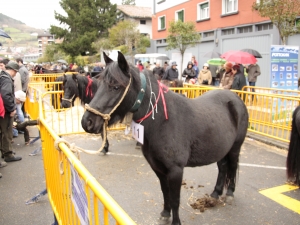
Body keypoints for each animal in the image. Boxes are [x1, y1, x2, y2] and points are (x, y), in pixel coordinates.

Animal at [81, 51, 248, 225]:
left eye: (116, 86)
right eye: (100, 84)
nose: (87, 122)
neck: (162, 122)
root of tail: (235, 99)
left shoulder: (175, 170)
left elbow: (175, 199)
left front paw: (175, 221)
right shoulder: (158, 168)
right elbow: (165, 193)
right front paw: (165, 214)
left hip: (235, 148)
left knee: (232, 166)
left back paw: (229, 194)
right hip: (220, 149)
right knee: (222, 167)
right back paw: (215, 193)